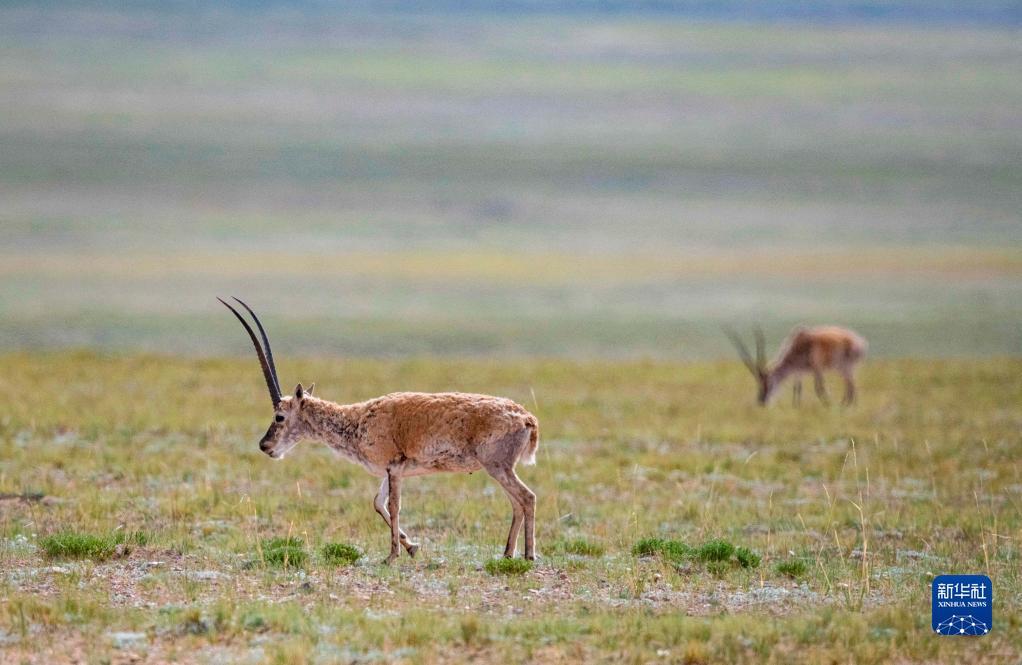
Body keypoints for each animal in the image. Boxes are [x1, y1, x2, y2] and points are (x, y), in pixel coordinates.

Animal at [218, 298, 539, 563]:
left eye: (280, 416)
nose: (265, 446)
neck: (358, 418)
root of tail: (527, 418)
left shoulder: (394, 468)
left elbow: (394, 506)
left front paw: (392, 556)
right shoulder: (389, 471)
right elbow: (377, 503)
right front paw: (412, 546)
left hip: (497, 466)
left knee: (527, 497)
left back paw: (528, 555)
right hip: (498, 468)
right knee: (516, 502)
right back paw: (507, 553)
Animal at [723, 324, 866, 406]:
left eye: (768, 384)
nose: (761, 401)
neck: (797, 345)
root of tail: (859, 342)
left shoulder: (816, 368)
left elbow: (819, 388)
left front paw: (828, 405)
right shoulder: (798, 371)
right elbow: (797, 389)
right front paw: (796, 407)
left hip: (845, 367)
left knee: (851, 386)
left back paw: (845, 406)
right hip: (842, 368)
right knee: (851, 386)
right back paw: (847, 406)